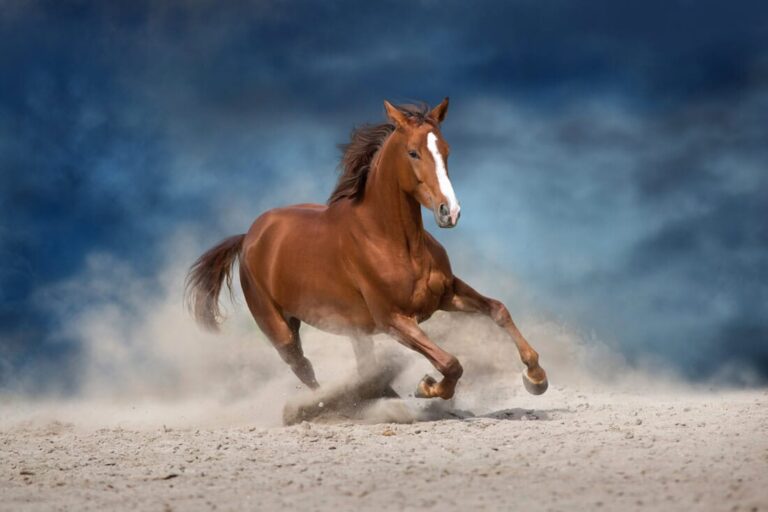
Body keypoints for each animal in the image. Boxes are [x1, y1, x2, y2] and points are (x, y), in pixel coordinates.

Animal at [185, 98, 548, 399]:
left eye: (446, 150)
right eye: (413, 153)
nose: (451, 212)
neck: (395, 243)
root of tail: (249, 236)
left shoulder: (447, 294)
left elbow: (498, 310)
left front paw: (536, 377)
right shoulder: (394, 320)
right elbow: (451, 363)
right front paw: (428, 388)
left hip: (353, 328)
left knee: (363, 366)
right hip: (279, 329)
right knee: (303, 367)